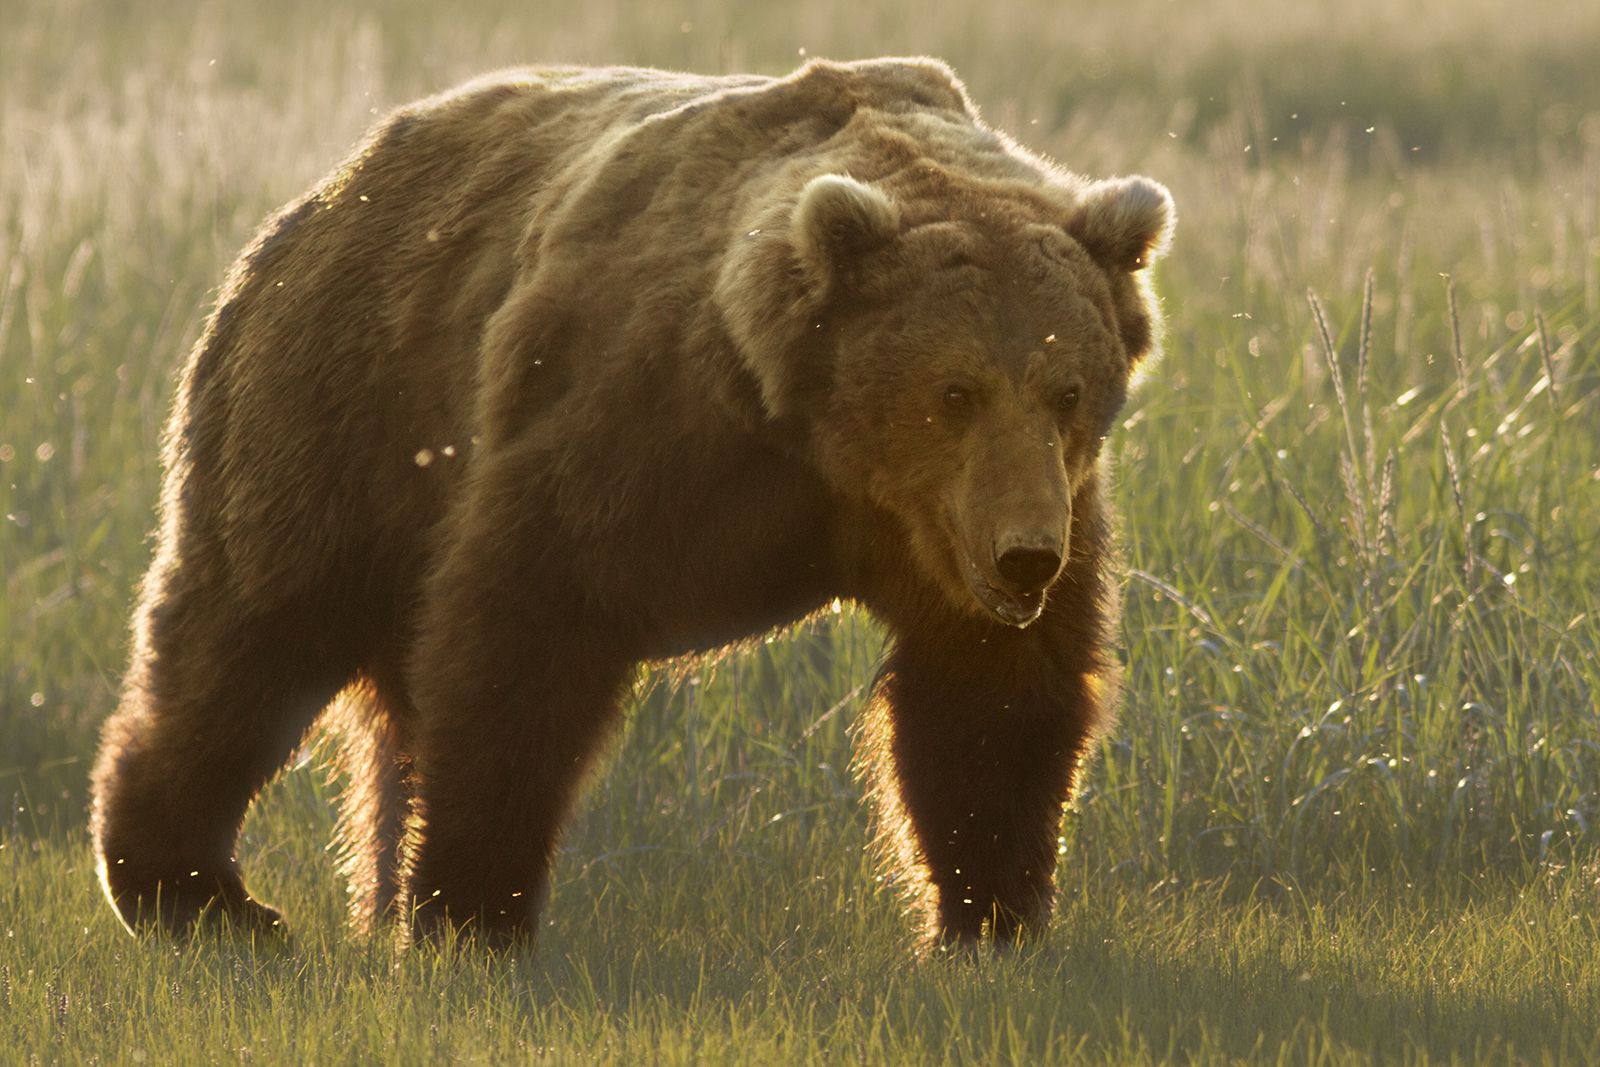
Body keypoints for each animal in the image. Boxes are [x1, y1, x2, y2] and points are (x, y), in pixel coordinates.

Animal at [89, 57, 1174, 951]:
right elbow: (523, 636)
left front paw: (986, 921)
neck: (806, 424)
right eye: (954, 391)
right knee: (252, 631)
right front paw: (472, 914)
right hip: (342, 398)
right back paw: (200, 895)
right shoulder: (635, 424)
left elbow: (987, 692)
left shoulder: (954, 520)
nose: (1025, 555)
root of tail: (323, 188)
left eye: (1068, 389)